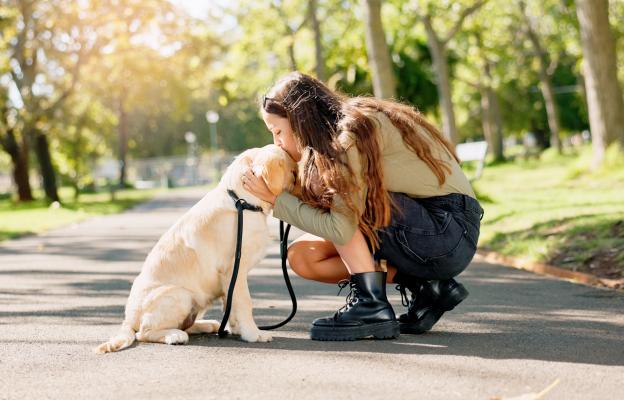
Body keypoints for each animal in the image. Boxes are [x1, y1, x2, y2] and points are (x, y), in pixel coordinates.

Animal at [95, 145, 298, 354]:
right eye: (293, 173)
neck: (242, 201)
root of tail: (128, 319)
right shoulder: (235, 269)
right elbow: (244, 302)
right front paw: (254, 334)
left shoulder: (230, 278)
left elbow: (230, 304)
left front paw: (237, 329)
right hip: (180, 294)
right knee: (144, 333)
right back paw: (175, 335)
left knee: (186, 324)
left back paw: (208, 325)